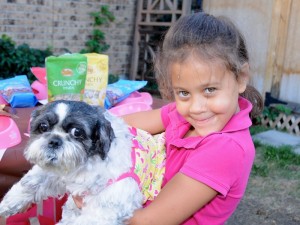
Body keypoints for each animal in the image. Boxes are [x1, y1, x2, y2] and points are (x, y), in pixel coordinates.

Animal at [0, 100, 155, 225]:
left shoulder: (108, 204)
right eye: (43, 127)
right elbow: (33, 180)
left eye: (77, 132)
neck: (86, 164)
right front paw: (8, 203)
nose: (54, 140)